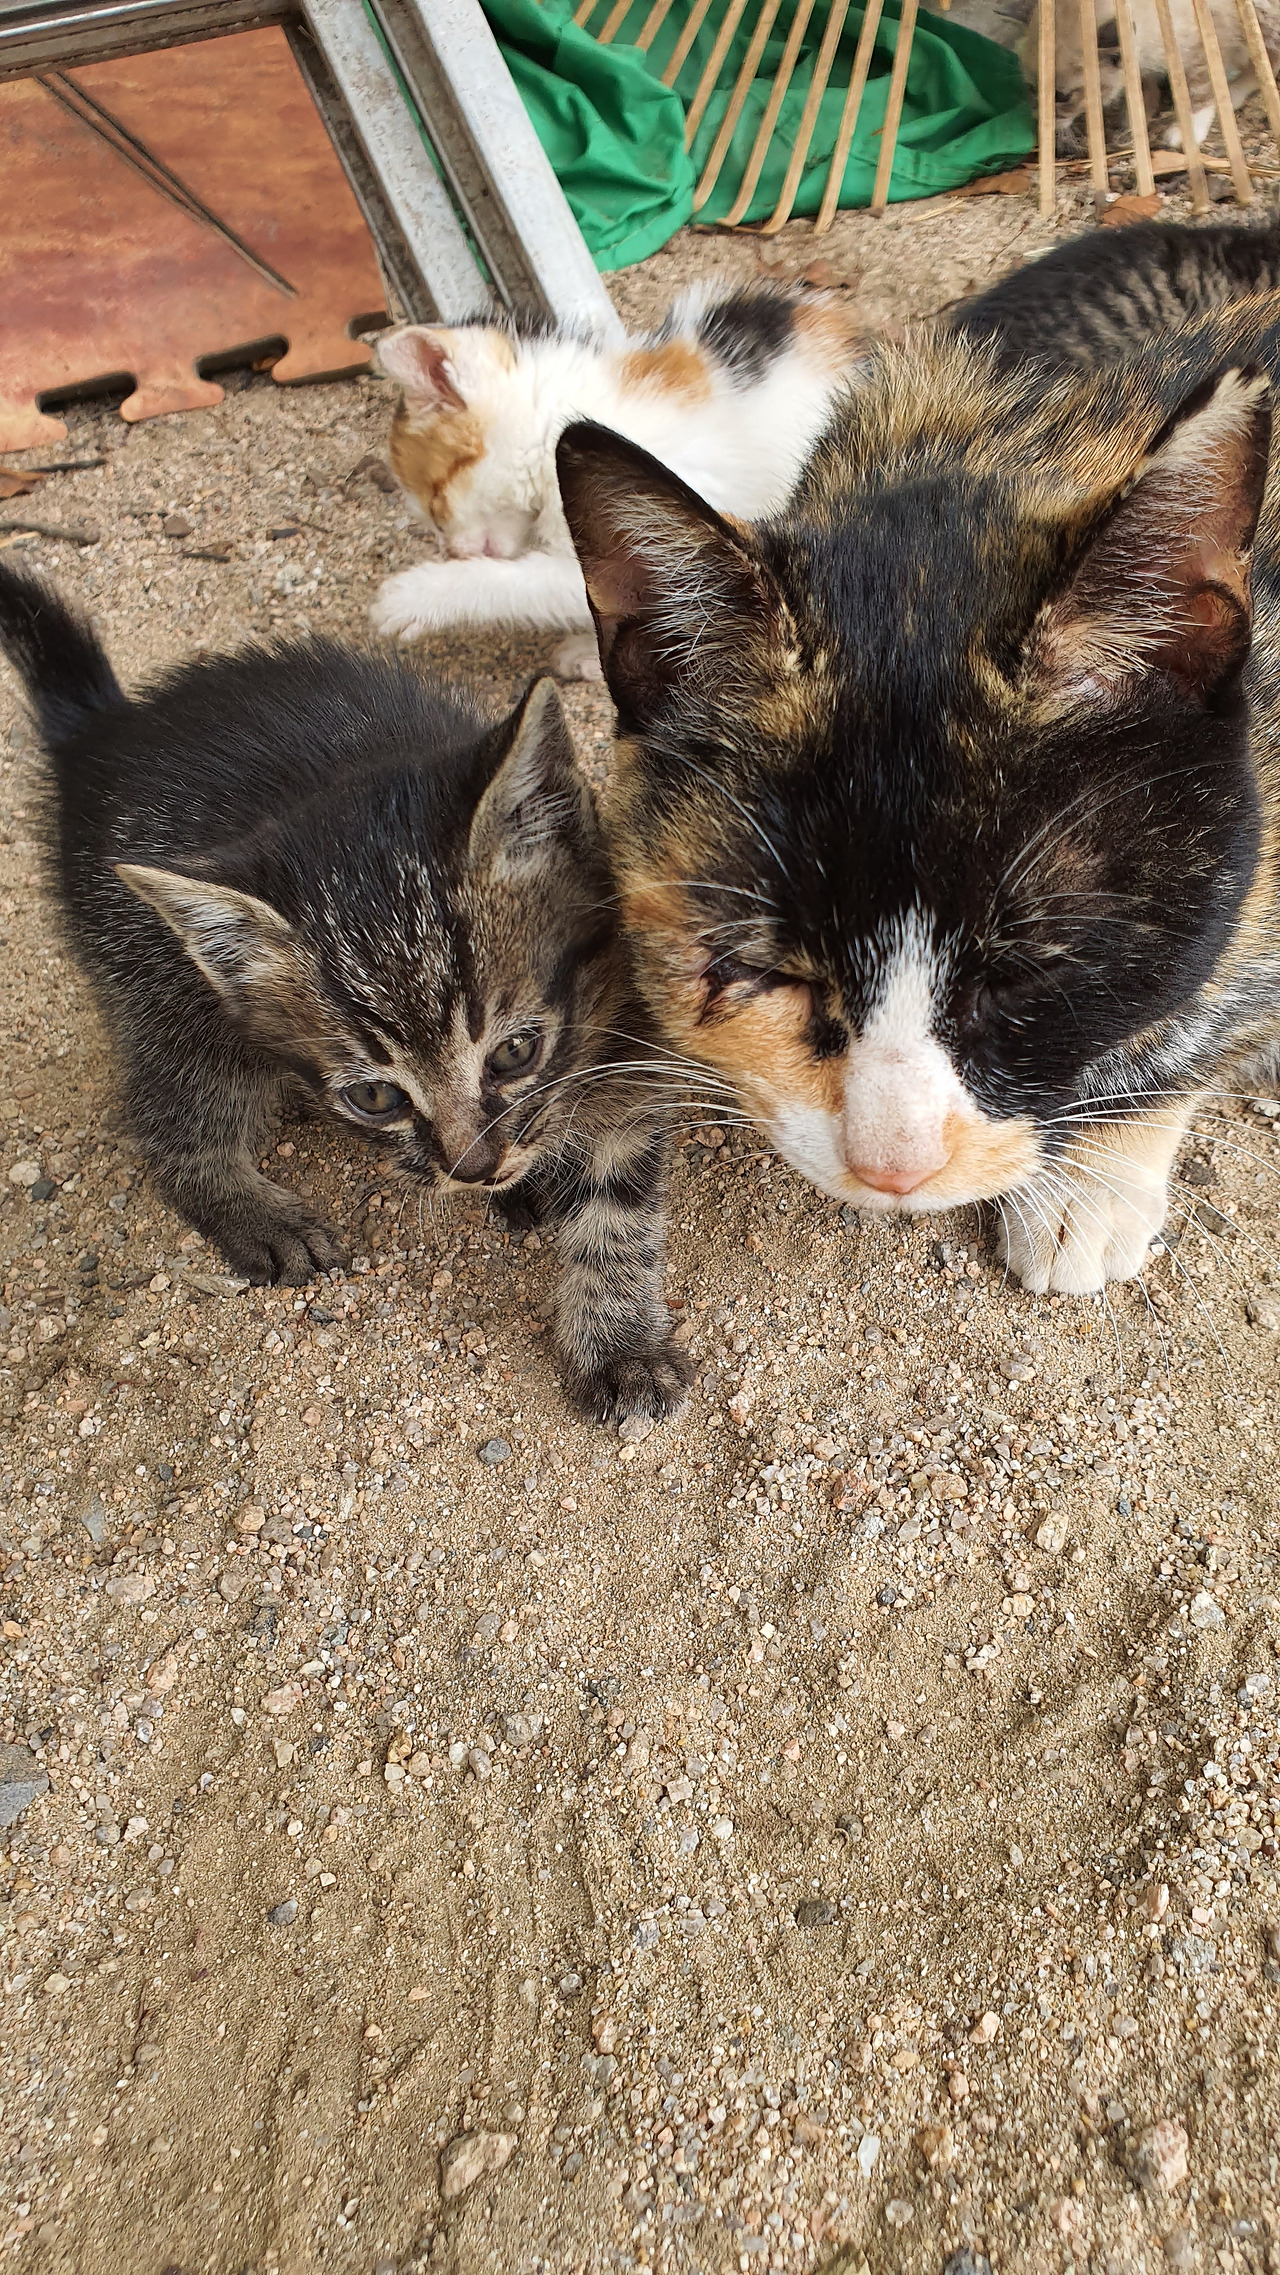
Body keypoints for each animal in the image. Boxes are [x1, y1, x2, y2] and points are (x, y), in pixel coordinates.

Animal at [0, 563, 688, 1421]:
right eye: (375, 1098)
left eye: (515, 1052)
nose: (474, 1168)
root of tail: (106, 728)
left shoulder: (632, 1043)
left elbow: (617, 1203)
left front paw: (619, 1335)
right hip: (169, 989)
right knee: (167, 1110)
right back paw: (246, 1202)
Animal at [1021, 0, 1280, 155]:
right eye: (1032, 88)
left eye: (1061, 96)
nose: (1038, 119)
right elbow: (1143, 82)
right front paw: (1138, 114)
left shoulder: (1204, 43)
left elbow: (1199, 91)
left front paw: (1188, 130)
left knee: (1268, 60)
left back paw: (1232, 92)